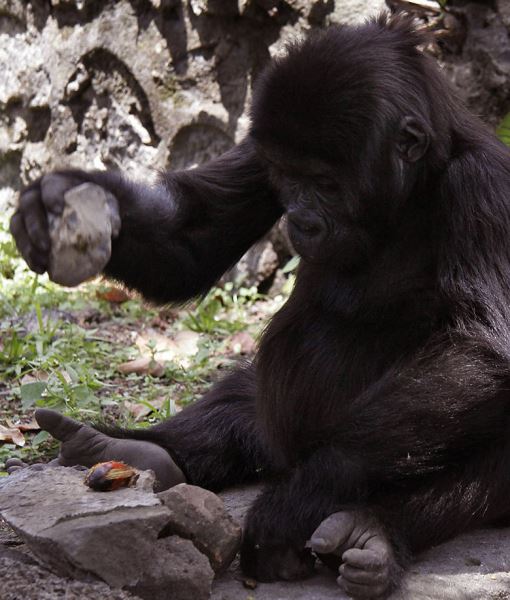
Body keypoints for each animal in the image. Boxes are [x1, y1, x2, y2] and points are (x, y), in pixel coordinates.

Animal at [8, 14, 510, 600]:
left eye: (326, 184)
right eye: (287, 176)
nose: (300, 218)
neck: (417, 184)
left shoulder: (483, 191)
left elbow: (481, 352)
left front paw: (301, 500)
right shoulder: (259, 147)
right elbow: (192, 239)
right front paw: (52, 202)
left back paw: (375, 532)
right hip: (270, 436)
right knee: (243, 400)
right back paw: (138, 451)